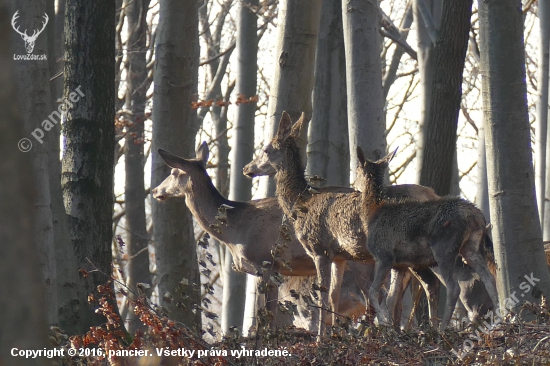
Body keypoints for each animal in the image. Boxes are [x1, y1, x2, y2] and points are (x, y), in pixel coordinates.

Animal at [356, 146, 502, 328]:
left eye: (357, 170)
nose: (354, 186)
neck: (371, 215)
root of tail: (476, 216)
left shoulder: (384, 255)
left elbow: (374, 291)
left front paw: (384, 323)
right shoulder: (400, 264)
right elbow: (392, 297)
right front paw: (390, 325)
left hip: (444, 249)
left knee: (454, 287)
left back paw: (443, 326)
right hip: (472, 247)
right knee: (490, 279)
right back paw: (501, 319)